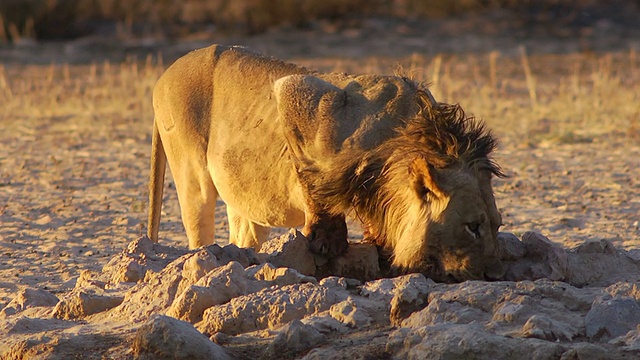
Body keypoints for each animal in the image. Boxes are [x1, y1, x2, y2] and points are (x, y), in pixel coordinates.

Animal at [148, 44, 508, 282]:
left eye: (497, 224)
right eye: (472, 227)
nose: (492, 274)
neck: (403, 136)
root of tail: (164, 74)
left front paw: (378, 240)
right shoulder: (297, 93)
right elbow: (315, 188)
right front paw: (327, 241)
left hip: (245, 201)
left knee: (243, 232)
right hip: (193, 179)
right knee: (198, 233)